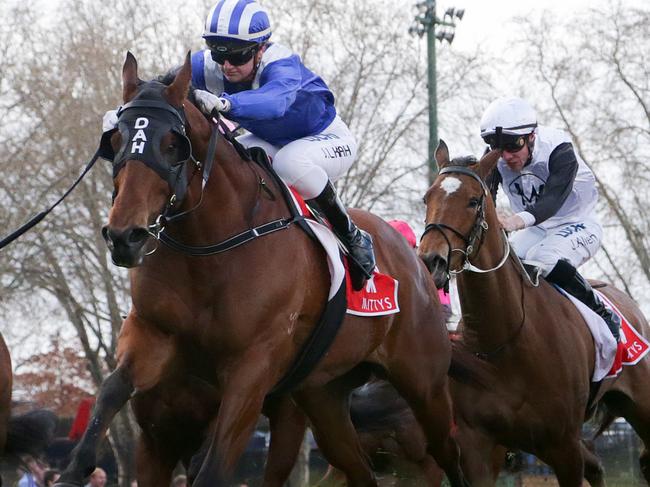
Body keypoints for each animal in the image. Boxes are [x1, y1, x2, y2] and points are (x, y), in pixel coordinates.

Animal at [54, 53, 460, 487]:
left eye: (173, 144)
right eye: (114, 141)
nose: (124, 236)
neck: (210, 248)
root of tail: (415, 261)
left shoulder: (251, 371)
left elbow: (213, 468)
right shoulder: (153, 340)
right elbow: (113, 389)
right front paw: (73, 470)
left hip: (423, 383)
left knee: (447, 452)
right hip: (323, 394)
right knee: (359, 469)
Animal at [418, 140, 650, 484]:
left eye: (473, 201)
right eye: (427, 198)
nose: (430, 260)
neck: (506, 338)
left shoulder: (563, 446)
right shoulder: (478, 449)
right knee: (598, 464)